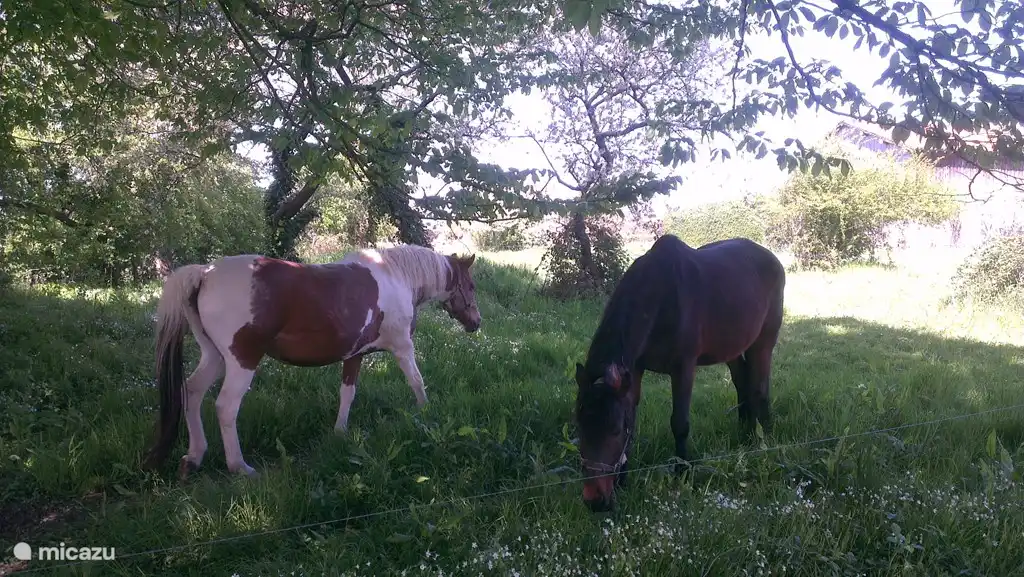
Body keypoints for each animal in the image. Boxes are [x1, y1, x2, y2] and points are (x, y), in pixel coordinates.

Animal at [141, 244, 481, 480]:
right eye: (471, 286)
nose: (476, 323)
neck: (395, 277)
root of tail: (205, 273)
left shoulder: (354, 355)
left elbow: (347, 394)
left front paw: (340, 432)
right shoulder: (402, 347)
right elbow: (416, 381)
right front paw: (425, 413)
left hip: (214, 357)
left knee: (192, 392)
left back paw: (194, 457)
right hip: (242, 360)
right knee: (225, 407)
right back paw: (239, 467)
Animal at [573, 234, 786, 512]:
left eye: (615, 430)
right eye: (579, 426)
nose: (595, 501)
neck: (661, 297)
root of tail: (773, 259)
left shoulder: (683, 368)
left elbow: (680, 423)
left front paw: (683, 471)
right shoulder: (635, 370)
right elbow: (633, 417)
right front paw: (623, 480)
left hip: (764, 341)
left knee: (760, 388)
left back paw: (763, 438)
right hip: (732, 346)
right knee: (742, 383)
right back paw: (744, 431)